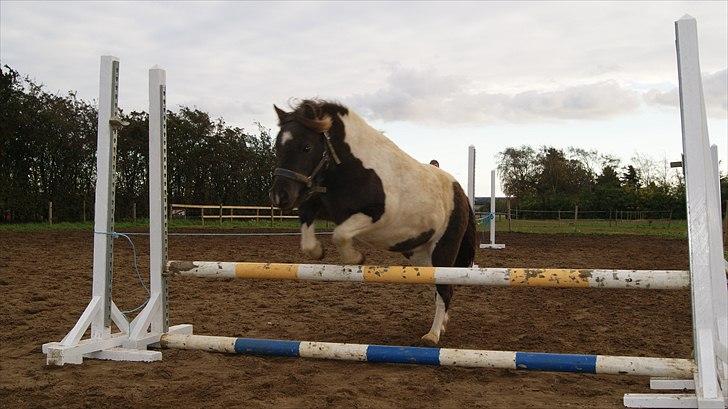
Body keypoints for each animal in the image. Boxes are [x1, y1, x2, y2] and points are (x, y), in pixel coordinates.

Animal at [270, 99, 474, 344]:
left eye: (306, 147)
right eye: (277, 147)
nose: (279, 196)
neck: (353, 168)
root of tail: (461, 193)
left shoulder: (377, 215)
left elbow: (340, 234)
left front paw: (356, 258)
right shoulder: (321, 207)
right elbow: (308, 234)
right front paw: (318, 252)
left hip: (443, 250)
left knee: (445, 289)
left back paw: (432, 335)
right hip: (421, 254)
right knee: (441, 285)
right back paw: (442, 325)